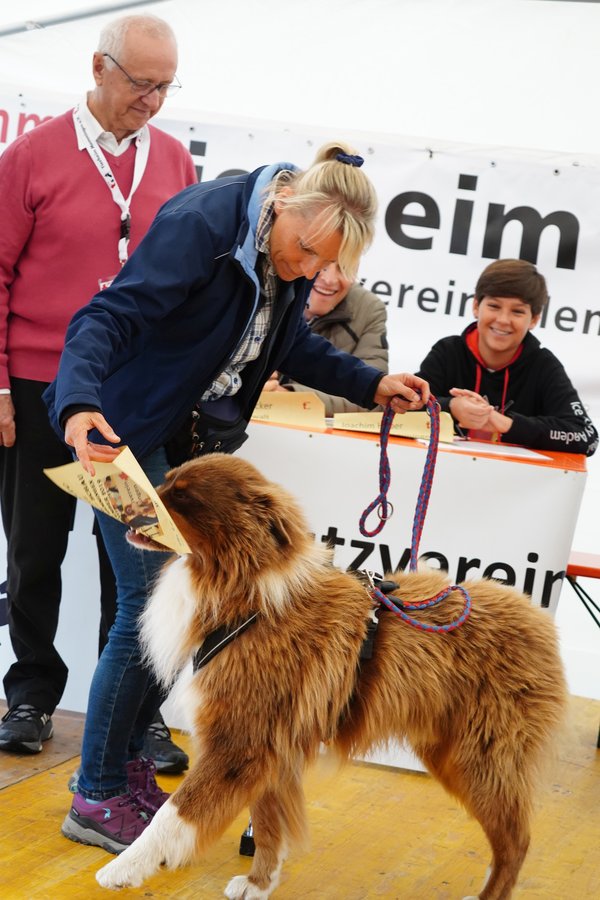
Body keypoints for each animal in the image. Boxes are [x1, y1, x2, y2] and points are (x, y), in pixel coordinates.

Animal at [97, 458, 568, 900]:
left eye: (182, 497)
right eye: (165, 480)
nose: (123, 504)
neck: (245, 591)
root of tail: (539, 619)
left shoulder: (240, 743)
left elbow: (173, 814)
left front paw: (124, 868)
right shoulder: (271, 746)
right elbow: (267, 823)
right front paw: (259, 884)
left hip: (481, 760)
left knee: (516, 840)